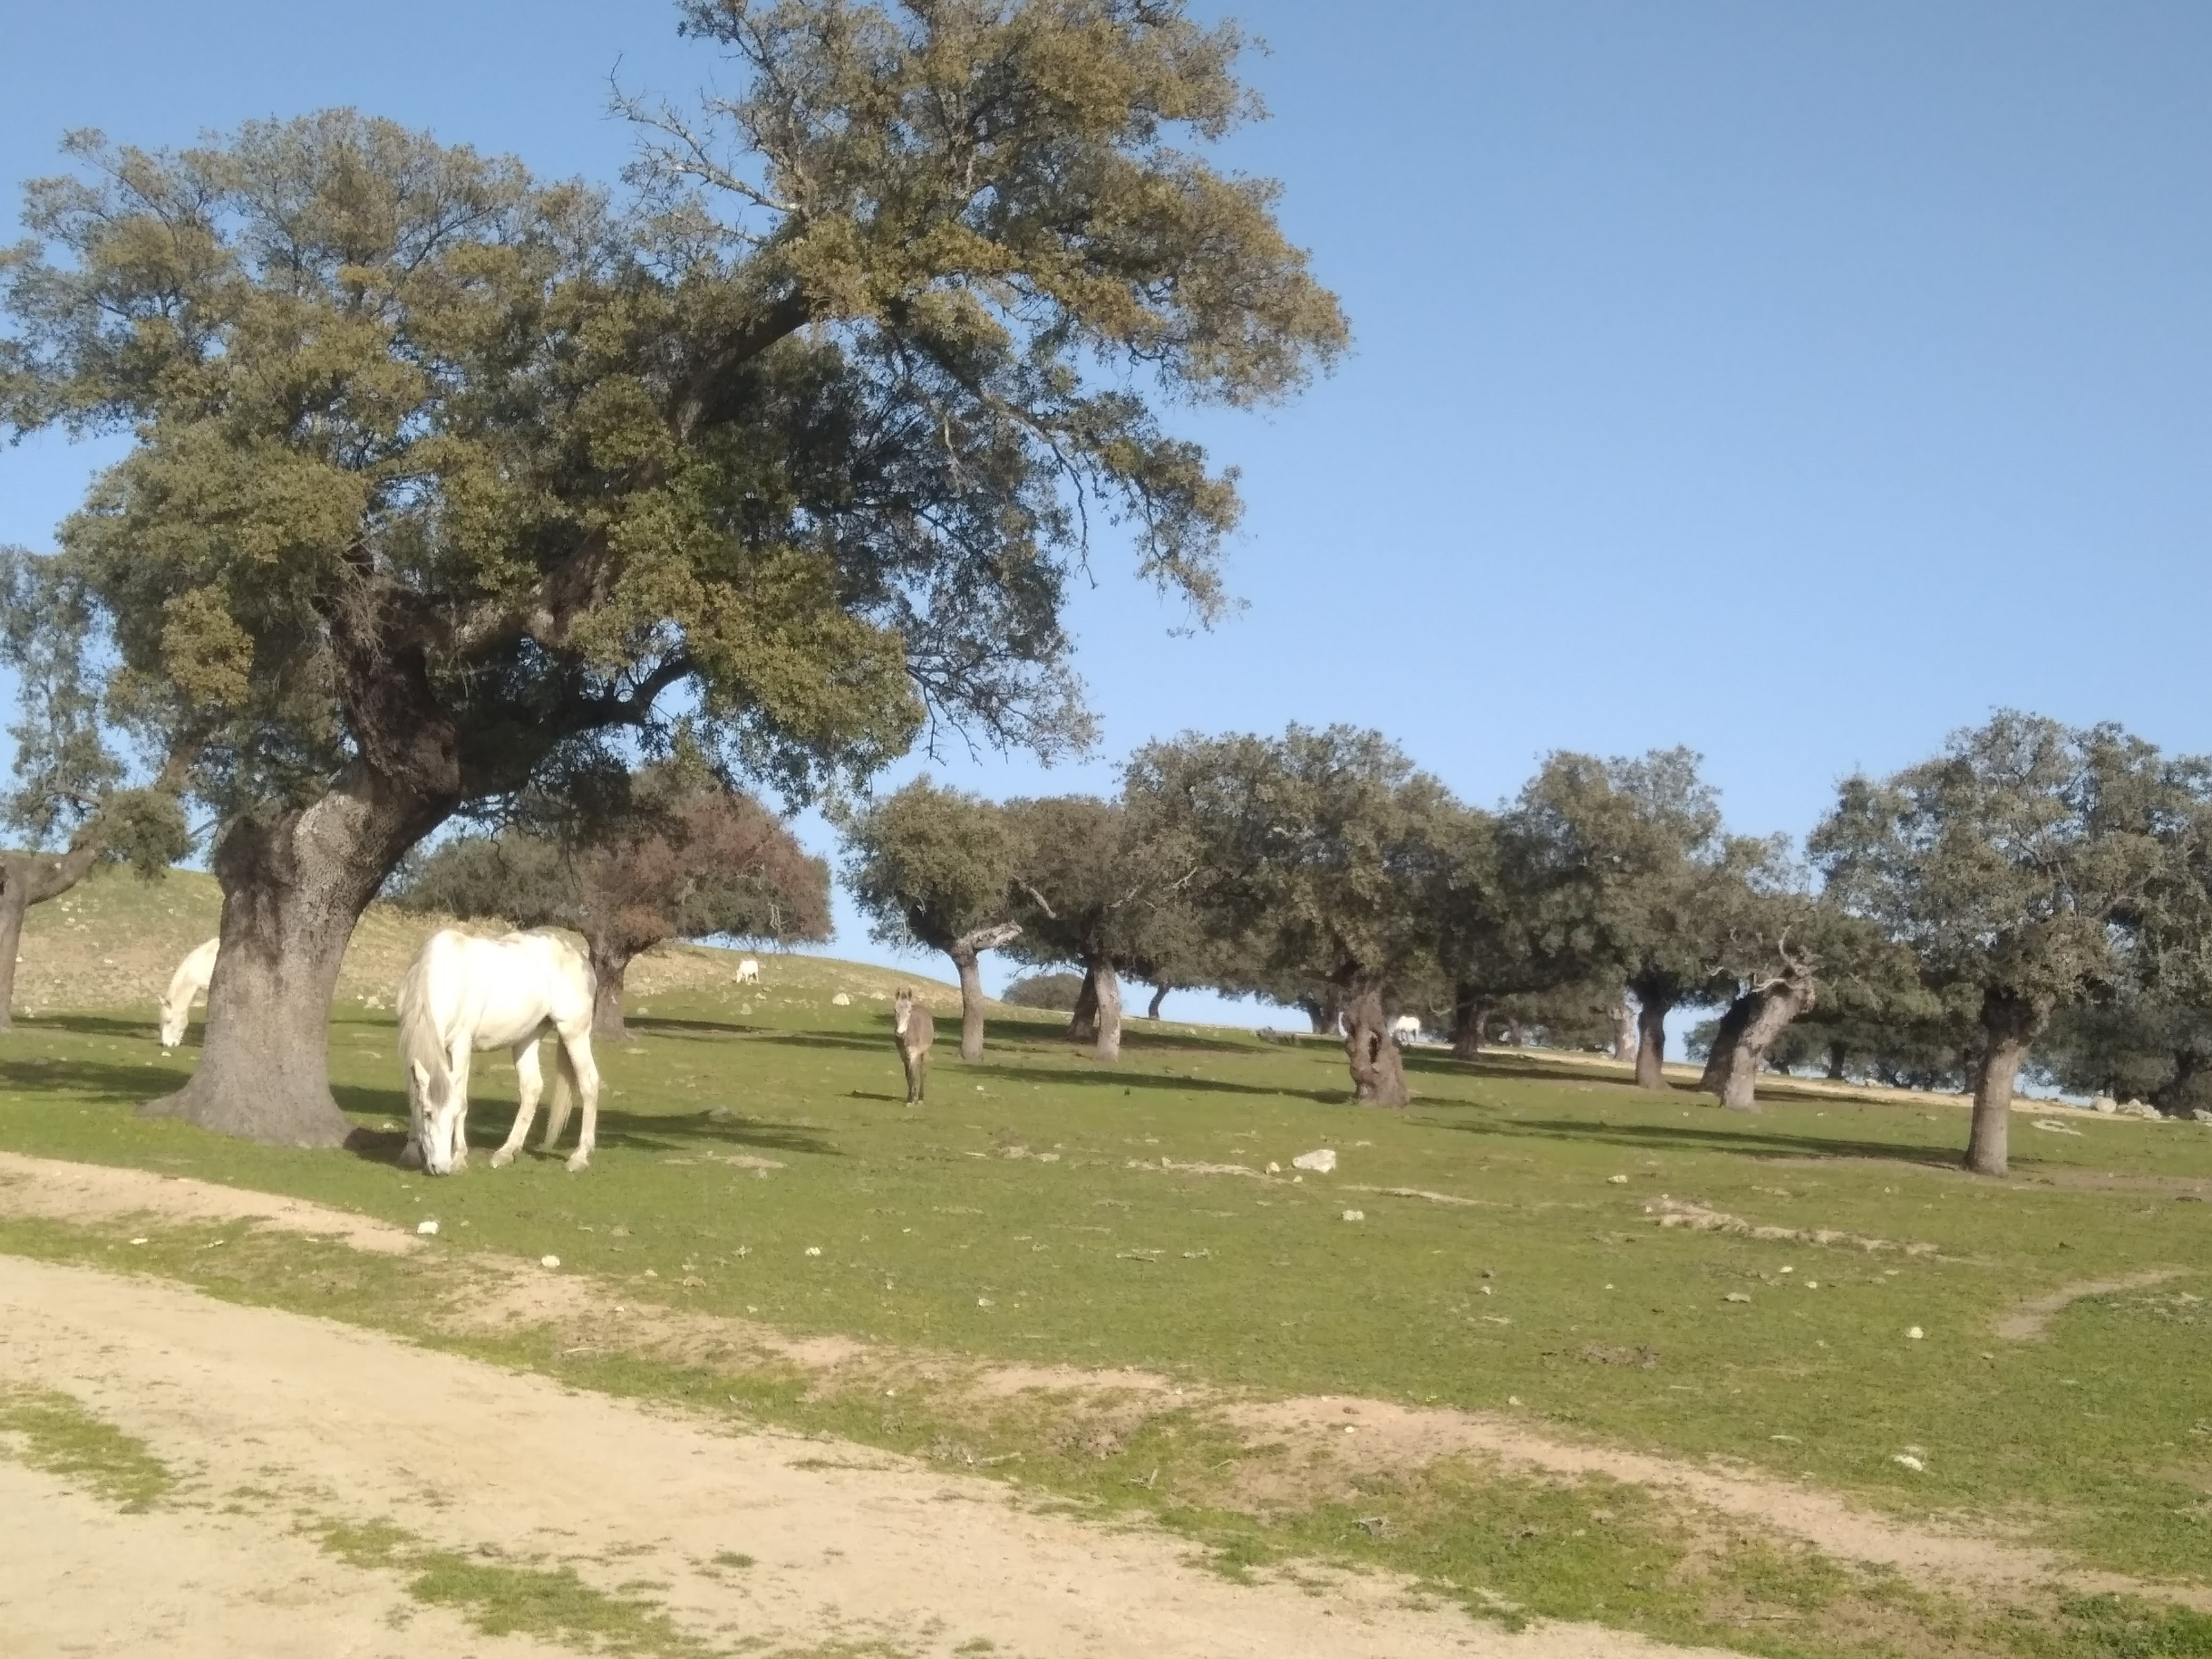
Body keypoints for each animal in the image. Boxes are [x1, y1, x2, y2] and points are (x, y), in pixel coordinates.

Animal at [398, 929, 601, 1177]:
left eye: (453, 1115)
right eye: (428, 1113)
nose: (441, 1168)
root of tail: (580, 956)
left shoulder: (461, 1045)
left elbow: (462, 1099)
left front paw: (459, 1158)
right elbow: (415, 1093)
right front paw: (409, 1152)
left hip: (574, 1033)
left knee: (589, 1084)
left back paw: (580, 1156)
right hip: (527, 1039)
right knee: (532, 1088)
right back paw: (507, 1152)